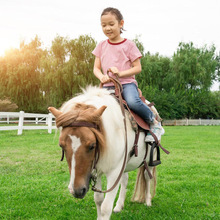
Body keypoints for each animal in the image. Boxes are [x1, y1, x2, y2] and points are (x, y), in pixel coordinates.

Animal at [49, 86, 164, 220]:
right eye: (61, 145)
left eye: (92, 146)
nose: (77, 191)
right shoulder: (96, 170)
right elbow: (98, 199)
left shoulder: (114, 172)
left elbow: (105, 207)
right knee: (125, 180)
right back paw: (119, 206)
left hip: (151, 158)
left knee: (147, 176)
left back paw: (148, 201)